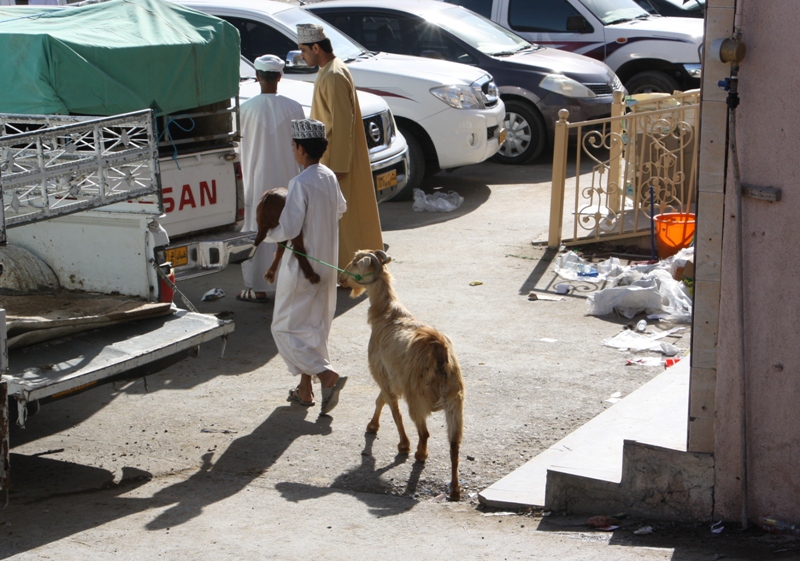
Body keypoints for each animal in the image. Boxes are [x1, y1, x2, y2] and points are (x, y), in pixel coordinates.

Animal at [336, 249, 462, 498]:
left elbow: (393, 408)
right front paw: (372, 425)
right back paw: (454, 489)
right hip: (455, 404)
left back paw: (419, 455)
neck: (387, 313)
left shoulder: (382, 371)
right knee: (454, 446)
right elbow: (381, 400)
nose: (341, 278)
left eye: (355, 262)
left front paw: (403, 445)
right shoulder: (392, 377)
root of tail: (440, 352)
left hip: (418, 399)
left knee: (424, 433)